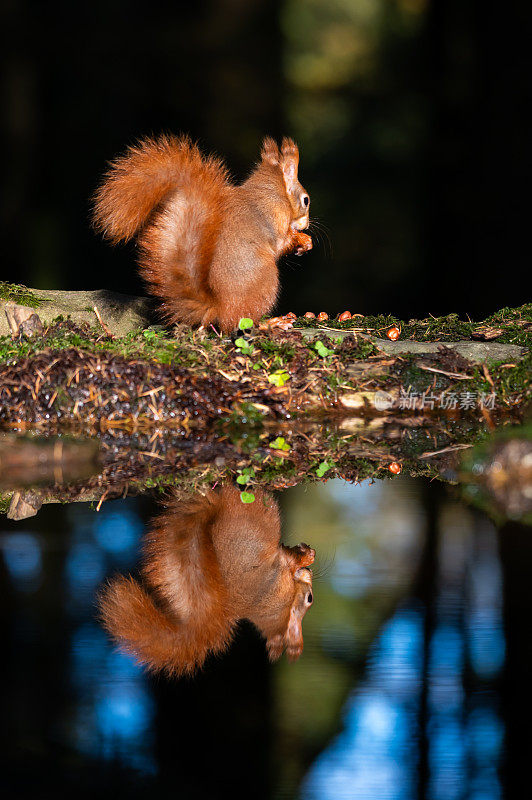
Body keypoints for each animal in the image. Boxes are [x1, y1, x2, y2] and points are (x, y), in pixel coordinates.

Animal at [91, 134, 312, 332]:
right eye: (306, 200)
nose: (306, 224)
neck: (272, 191)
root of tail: (218, 307)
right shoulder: (274, 218)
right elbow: (281, 243)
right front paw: (302, 240)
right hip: (266, 284)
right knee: (242, 321)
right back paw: (273, 322)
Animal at [97, 484, 314, 680]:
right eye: (310, 598)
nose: (310, 574)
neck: (282, 608)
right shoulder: (277, 574)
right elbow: (290, 559)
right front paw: (307, 555)